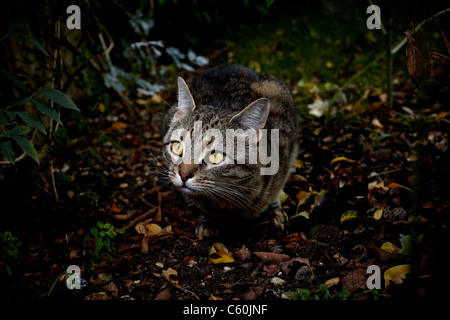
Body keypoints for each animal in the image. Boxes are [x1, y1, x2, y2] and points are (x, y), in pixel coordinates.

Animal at [162, 65, 298, 238]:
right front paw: (207, 219)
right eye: (177, 147)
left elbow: (275, 189)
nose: (184, 175)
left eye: (215, 156)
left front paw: (273, 208)